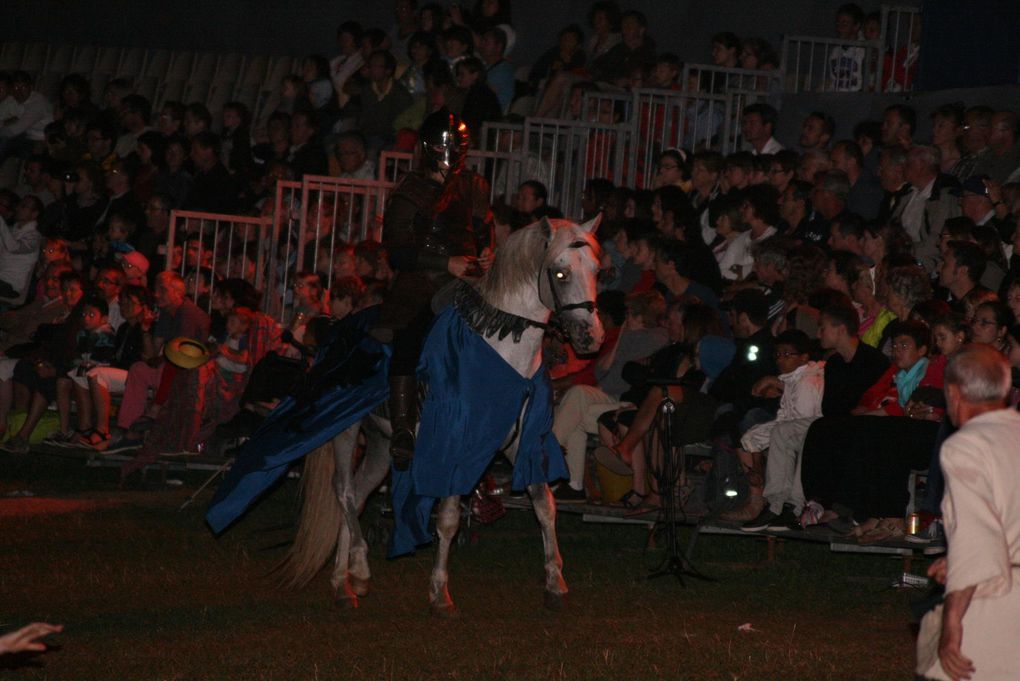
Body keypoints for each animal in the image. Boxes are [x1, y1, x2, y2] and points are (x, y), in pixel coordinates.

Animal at [271, 215, 603, 615]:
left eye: (596, 270)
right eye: (559, 273)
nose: (591, 338)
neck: (501, 348)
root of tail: (333, 329)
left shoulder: (524, 442)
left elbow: (544, 504)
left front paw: (555, 584)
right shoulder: (455, 446)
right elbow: (447, 520)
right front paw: (440, 593)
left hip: (382, 442)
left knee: (360, 493)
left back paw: (343, 583)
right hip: (344, 431)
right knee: (345, 492)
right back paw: (360, 568)